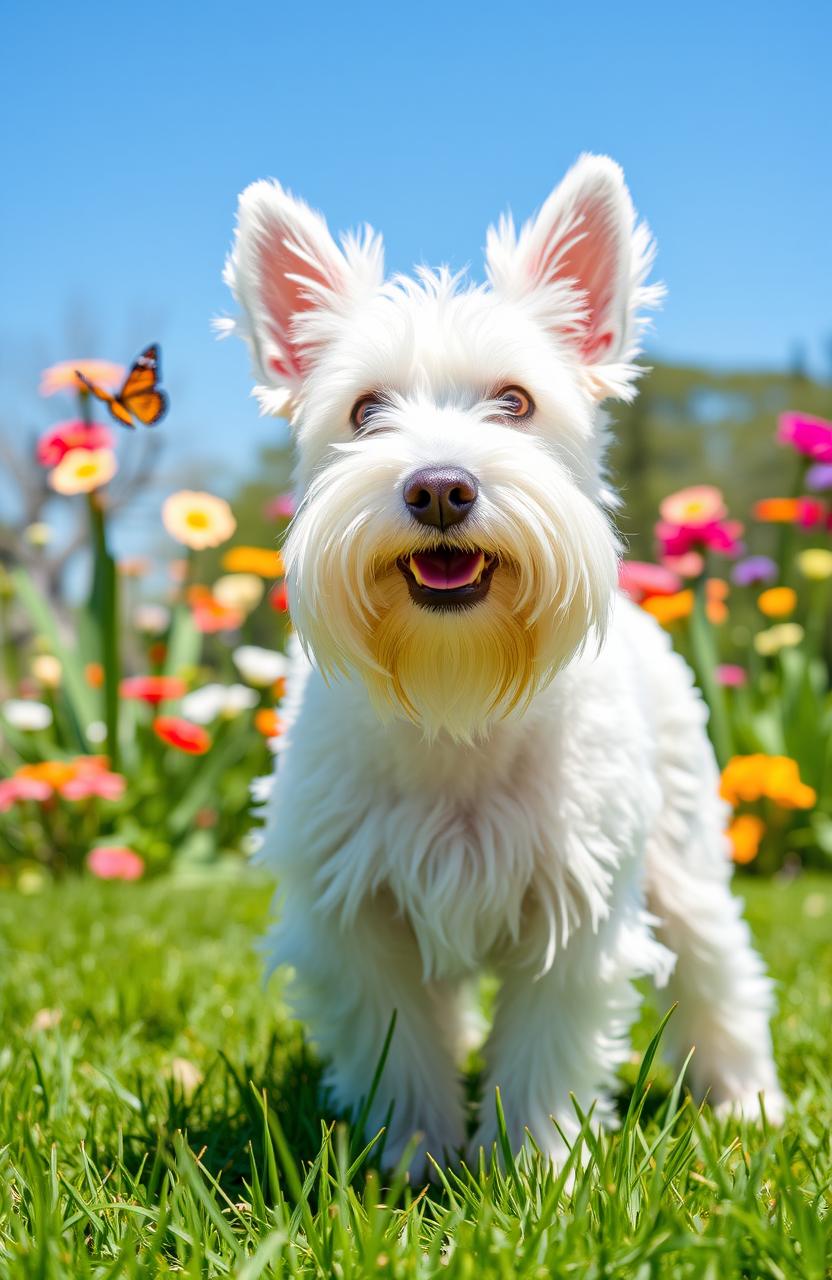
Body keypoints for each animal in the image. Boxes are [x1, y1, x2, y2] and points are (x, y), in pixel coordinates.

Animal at [220, 157, 778, 1172]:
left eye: (515, 401)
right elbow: (399, 1045)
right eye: (365, 409)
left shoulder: (576, 907)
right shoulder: (359, 916)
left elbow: (546, 1046)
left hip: (685, 859)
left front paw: (538, 1166)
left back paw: (750, 1102)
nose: (440, 487)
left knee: (724, 970)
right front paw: (410, 1157)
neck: (458, 699)